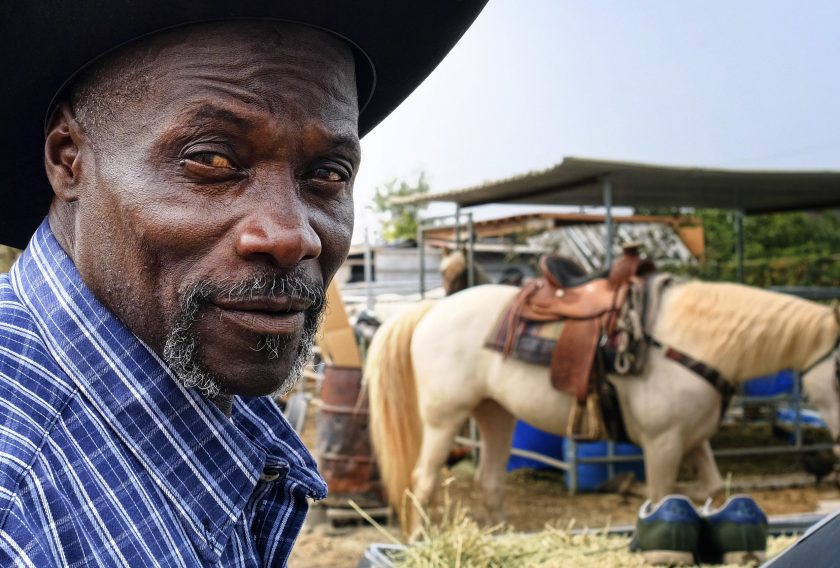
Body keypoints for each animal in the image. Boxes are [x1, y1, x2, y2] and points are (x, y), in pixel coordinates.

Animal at [366, 278, 840, 532]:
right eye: (838, 370)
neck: (689, 343)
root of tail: (431, 309)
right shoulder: (663, 444)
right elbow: (662, 497)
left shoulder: (694, 440)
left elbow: (711, 490)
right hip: (444, 418)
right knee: (423, 480)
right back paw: (421, 537)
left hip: (495, 413)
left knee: (489, 480)